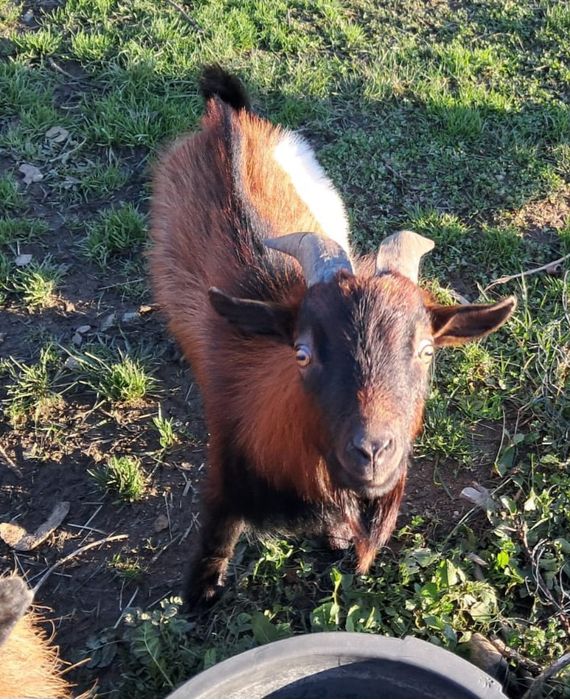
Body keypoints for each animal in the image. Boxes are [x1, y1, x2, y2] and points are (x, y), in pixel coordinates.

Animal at [149, 66, 516, 606]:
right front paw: (198, 599)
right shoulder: (224, 478)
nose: (372, 452)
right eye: (302, 353)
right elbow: (213, 544)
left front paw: (338, 538)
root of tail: (226, 118)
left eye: (427, 350)